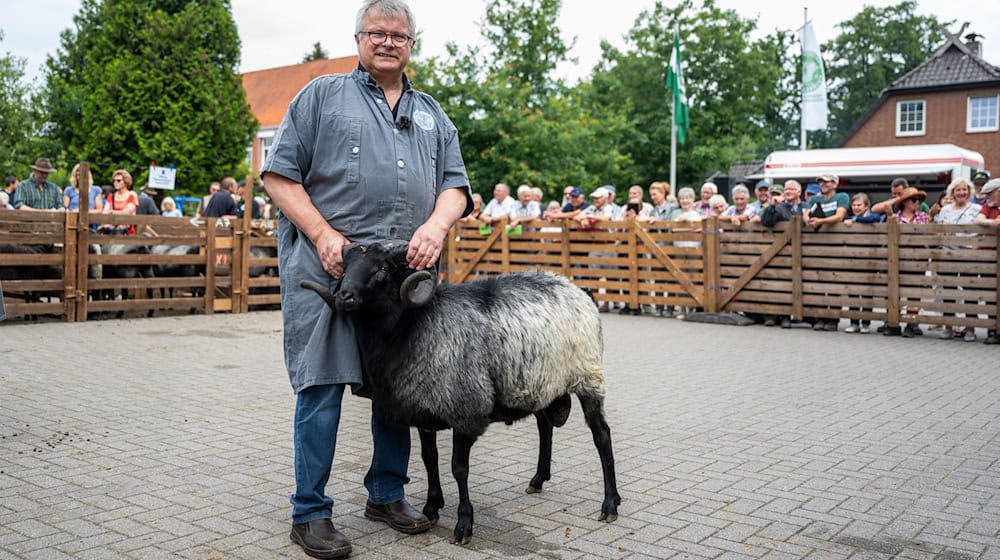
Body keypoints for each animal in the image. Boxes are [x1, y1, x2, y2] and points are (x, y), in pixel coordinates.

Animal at [300, 240, 620, 544]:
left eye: (381, 270)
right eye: (345, 268)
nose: (344, 297)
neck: (410, 326)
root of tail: (580, 290)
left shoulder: (465, 408)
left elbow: (458, 469)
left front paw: (464, 524)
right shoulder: (424, 412)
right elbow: (429, 459)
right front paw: (431, 508)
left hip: (588, 376)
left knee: (602, 436)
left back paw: (610, 505)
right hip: (542, 381)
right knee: (545, 426)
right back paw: (538, 479)